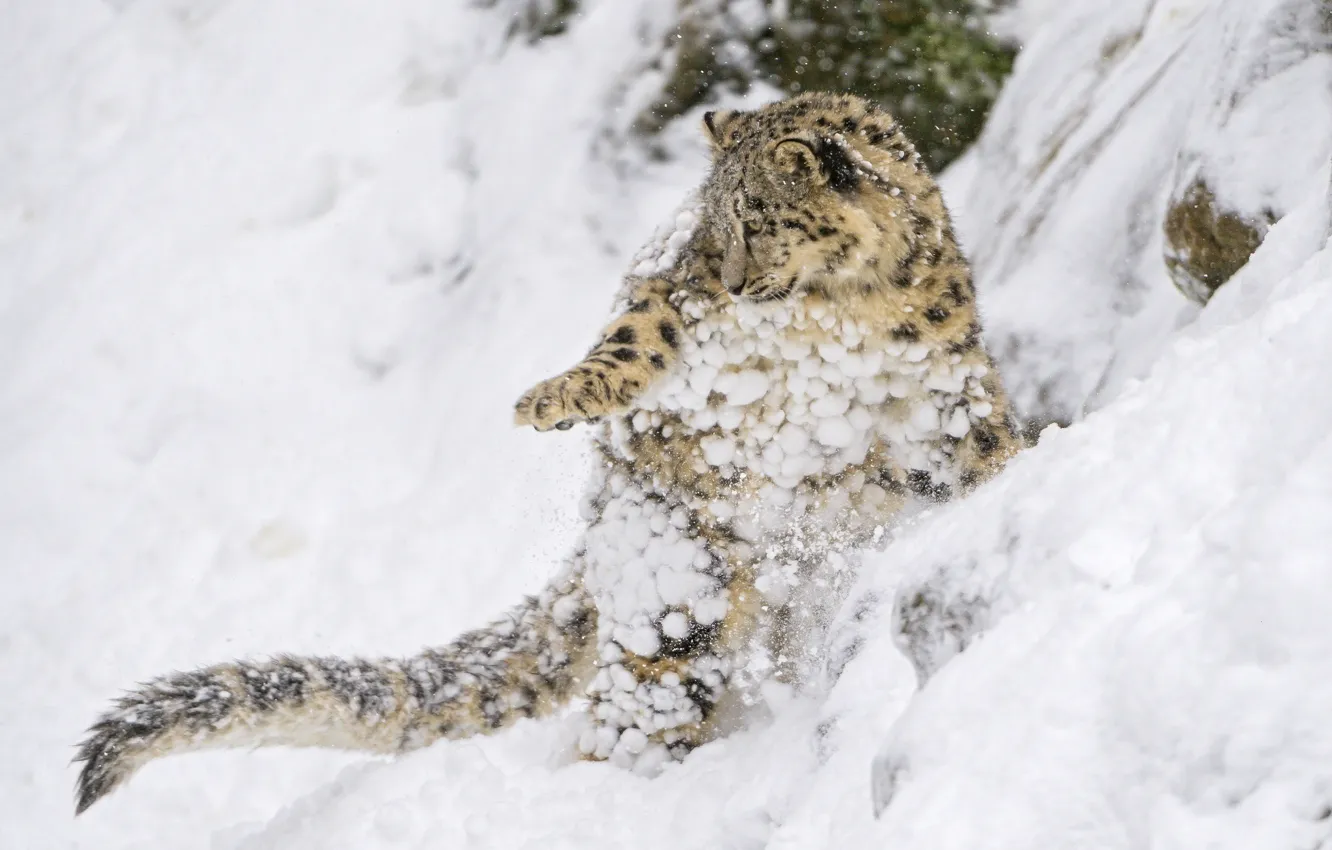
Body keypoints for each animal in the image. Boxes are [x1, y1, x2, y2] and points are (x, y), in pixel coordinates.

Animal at [73, 92, 1020, 813]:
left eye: (758, 218)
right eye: (712, 225)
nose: (732, 278)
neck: (840, 315)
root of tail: (600, 531)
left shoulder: (944, 391)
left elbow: (983, 448)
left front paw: (1020, 476)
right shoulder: (672, 296)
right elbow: (634, 335)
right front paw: (553, 400)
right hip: (675, 592)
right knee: (637, 711)